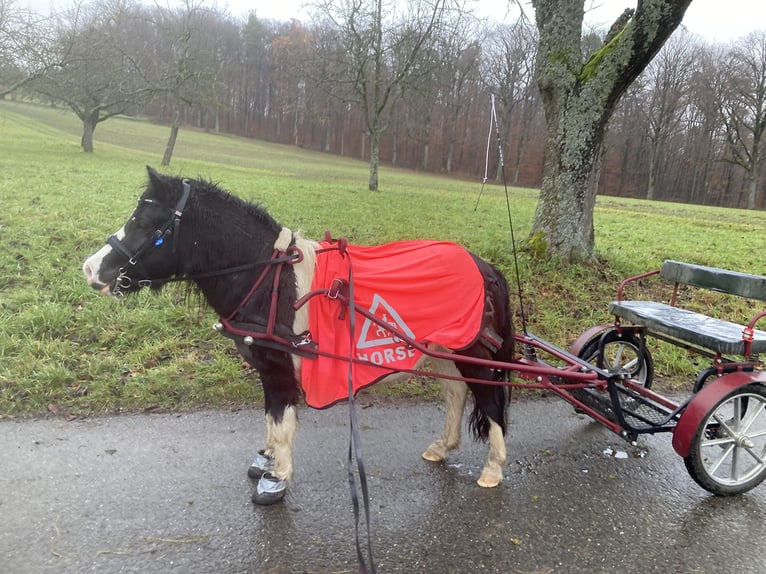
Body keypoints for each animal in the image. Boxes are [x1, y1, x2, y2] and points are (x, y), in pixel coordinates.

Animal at [84, 166, 516, 504]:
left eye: (146, 222)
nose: (91, 269)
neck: (270, 279)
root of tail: (483, 266)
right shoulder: (266, 367)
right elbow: (271, 419)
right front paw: (268, 458)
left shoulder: (279, 366)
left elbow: (282, 419)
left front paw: (276, 477)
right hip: (445, 349)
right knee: (456, 393)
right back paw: (443, 447)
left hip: (473, 351)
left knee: (489, 399)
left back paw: (494, 467)